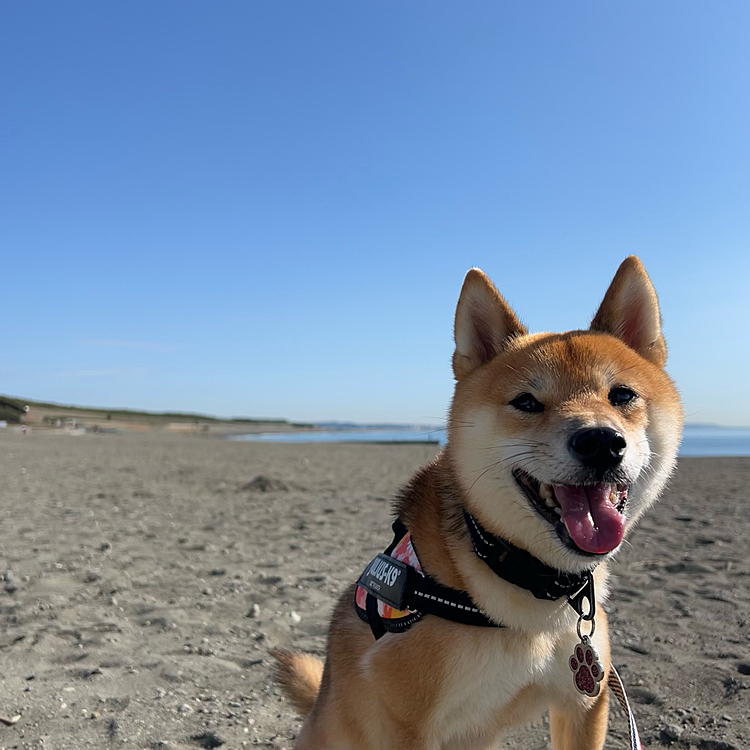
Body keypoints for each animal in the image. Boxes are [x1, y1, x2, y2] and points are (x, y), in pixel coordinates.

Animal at [274, 260, 688, 750]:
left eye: (622, 395)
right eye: (526, 401)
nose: (601, 442)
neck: (533, 594)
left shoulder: (584, 702)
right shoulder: (405, 725)